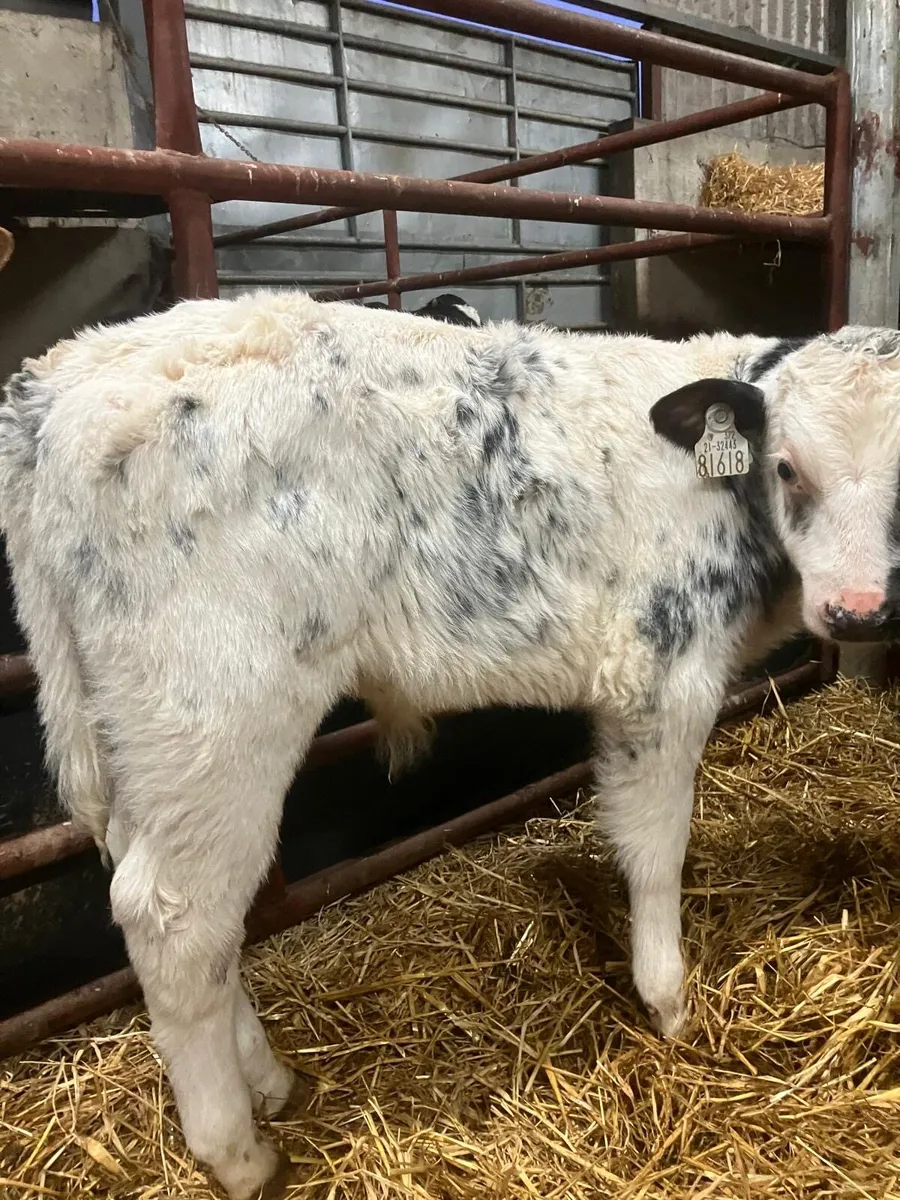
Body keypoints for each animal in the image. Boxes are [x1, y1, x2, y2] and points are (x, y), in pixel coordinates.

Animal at [1, 292, 898, 1198]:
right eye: (786, 468)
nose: (859, 612)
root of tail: (60, 378)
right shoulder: (663, 673)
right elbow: (655, 849)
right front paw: (670, 1004)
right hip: (215, 714)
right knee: (175, 918)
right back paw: (239, 1153)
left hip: (141, 738)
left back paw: (268, 1080)